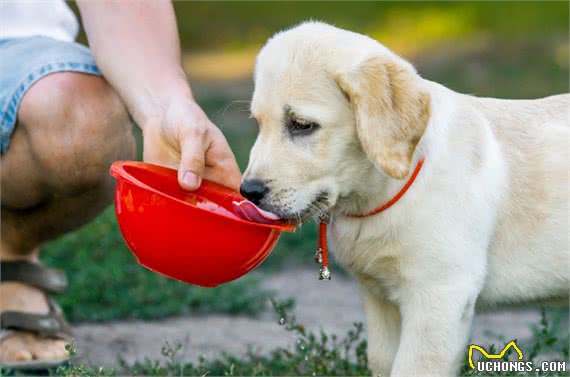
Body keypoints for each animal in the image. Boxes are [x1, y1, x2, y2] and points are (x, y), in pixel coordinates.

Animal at [241, 22, 568, 376]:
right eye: (258, 123)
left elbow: (412, 366)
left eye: (302, 125)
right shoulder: (379, 297)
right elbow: (383, 362)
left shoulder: (439, 295)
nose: (249, 191)